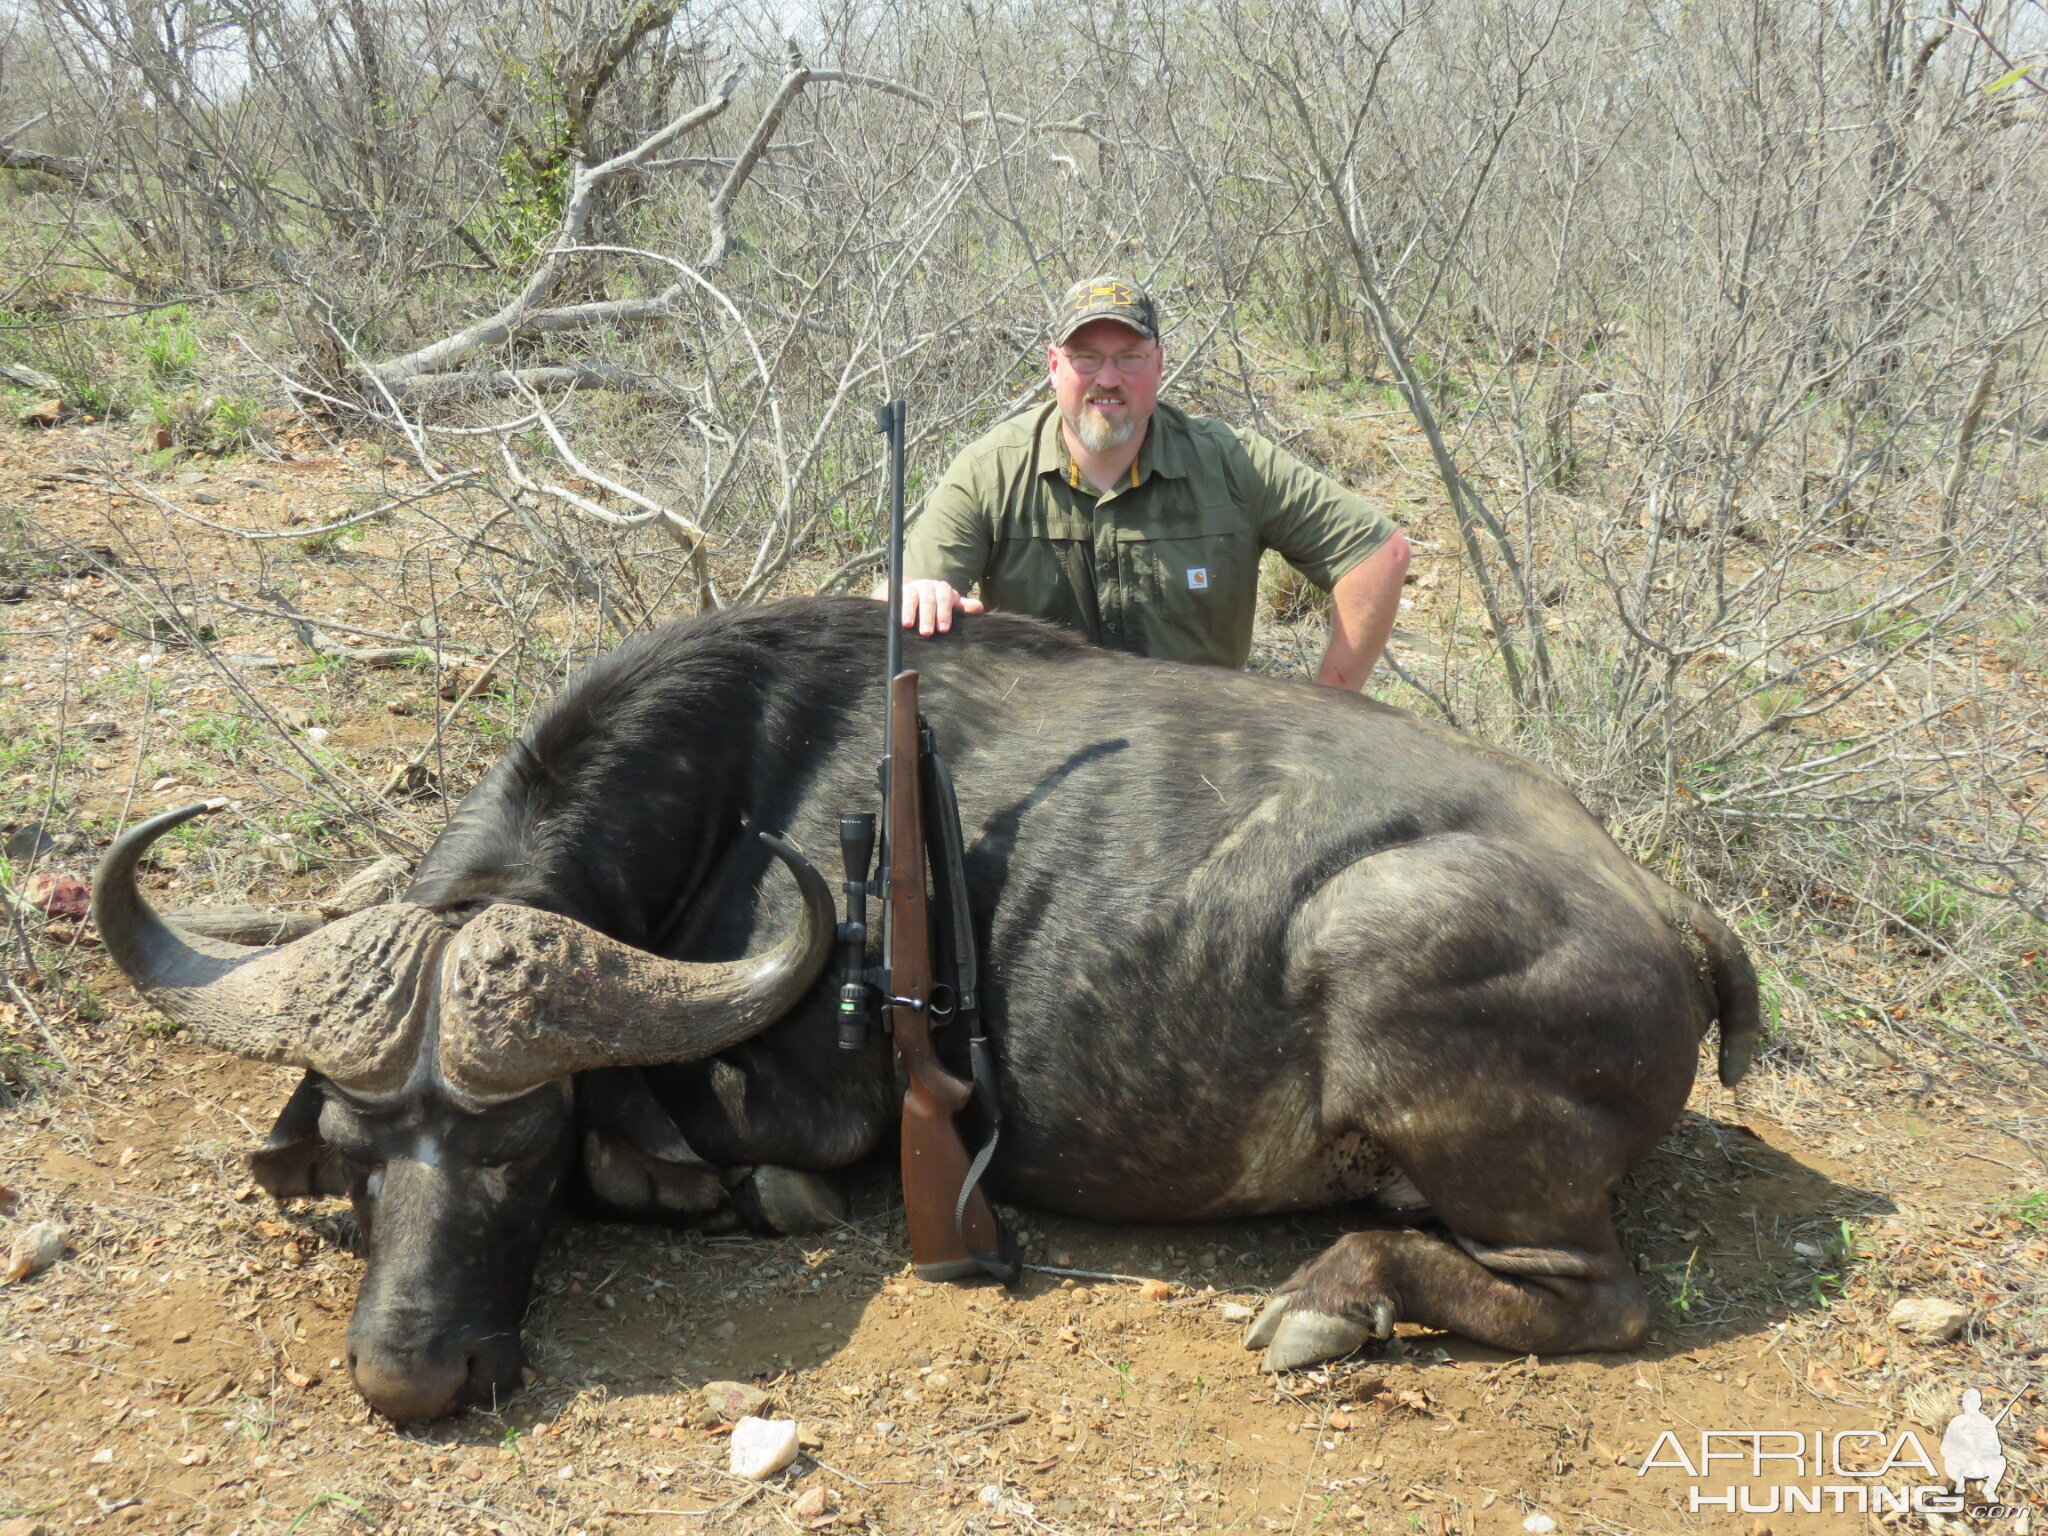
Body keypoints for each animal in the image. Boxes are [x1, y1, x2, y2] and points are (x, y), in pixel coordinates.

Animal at [96, 593, 1761, 1425]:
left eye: (518, 1147)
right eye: (361, 1154)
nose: (412, 1374)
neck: (734, 789)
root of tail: (1668, 911)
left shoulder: (799, 1094)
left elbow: (662, 1141)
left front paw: (726, 1189)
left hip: (1401, 985)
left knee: (1598, 1299)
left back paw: (1328, 1304)